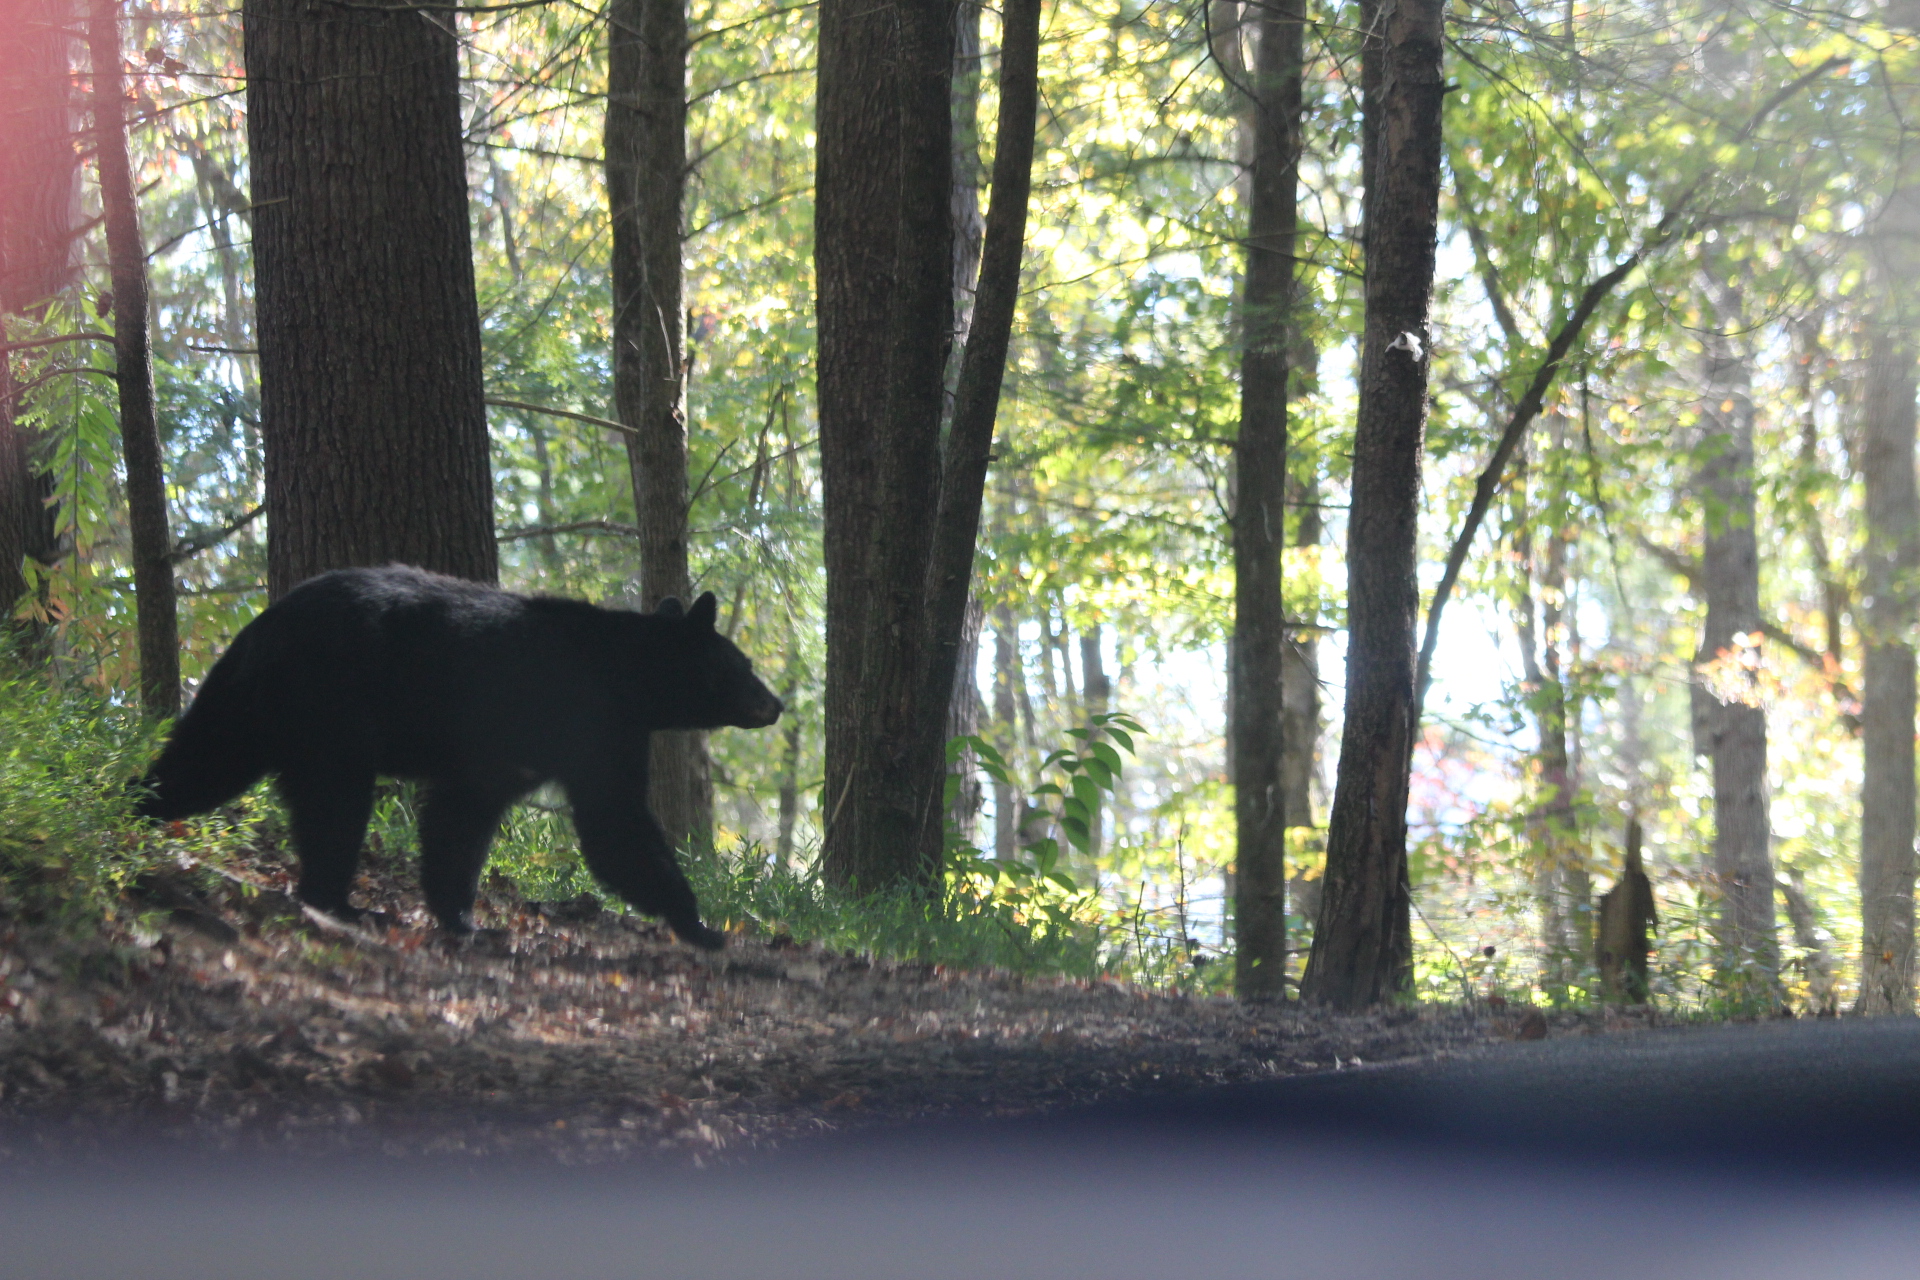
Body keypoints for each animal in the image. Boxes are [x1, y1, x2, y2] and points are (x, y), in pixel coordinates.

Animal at [134, 565, 782, 949]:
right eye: (745, 666)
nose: (775, 704)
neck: (628, 677)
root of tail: (261, 627)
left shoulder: (506, 754)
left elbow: (462, 818)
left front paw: (463, 918)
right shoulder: (594, 723)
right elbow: (615, 822)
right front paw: (702, 925)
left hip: (248, 709)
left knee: (200, 763)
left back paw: (132, 814)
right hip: (332, 705)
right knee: (335, 802)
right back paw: (343, 903)